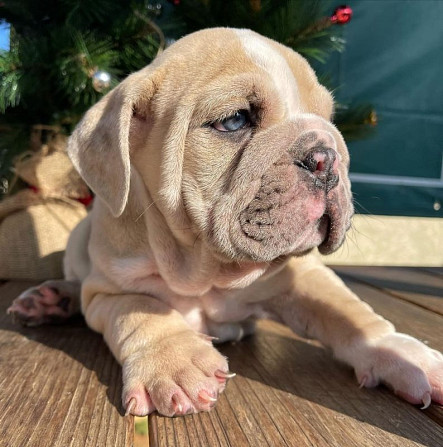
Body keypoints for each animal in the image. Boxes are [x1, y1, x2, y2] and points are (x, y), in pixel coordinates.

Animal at [7, 28, 443, 416]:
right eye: (235, 120)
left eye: (329, 118)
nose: (326, 156)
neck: (206, 269)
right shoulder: (106, 292)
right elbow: (140, 309)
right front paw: (175, 364)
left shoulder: (303, 275)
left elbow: (350, 313)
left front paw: (402, 354)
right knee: (79, 283)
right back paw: (51, 298)